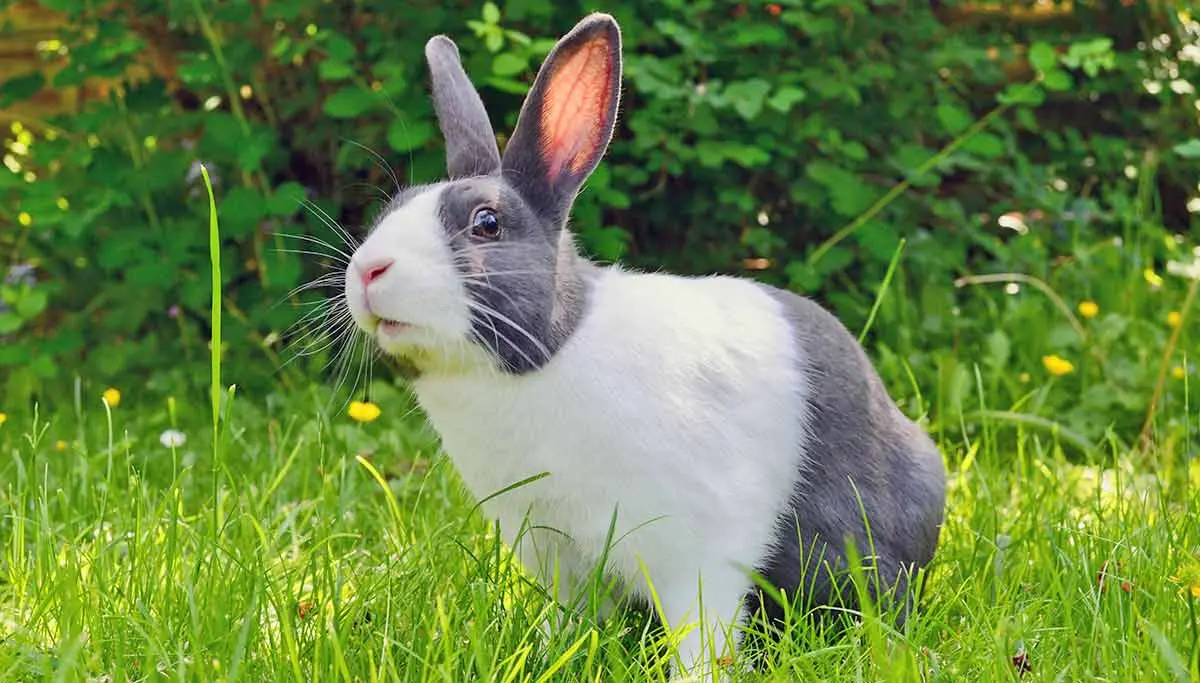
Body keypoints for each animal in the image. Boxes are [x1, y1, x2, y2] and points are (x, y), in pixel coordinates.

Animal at [345, 10, 945, 676]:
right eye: (392, 209)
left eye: (487, 223)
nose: (368, 270)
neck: (548, 356)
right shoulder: (557, 553)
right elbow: (570, 619)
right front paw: (549, 655)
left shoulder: (697, 553)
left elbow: (703, 631)